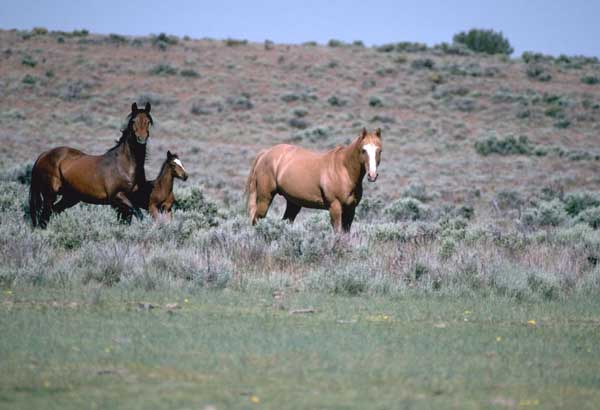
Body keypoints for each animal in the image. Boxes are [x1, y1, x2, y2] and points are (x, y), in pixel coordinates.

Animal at [245, 126, 382, 232]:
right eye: (364, 150)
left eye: (379, 150)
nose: (372, 175)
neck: (344, 170)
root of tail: (265, 153)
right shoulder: (335, 207)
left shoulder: (350, 209)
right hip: (265, 198)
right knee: (256, 220)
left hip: (293, 203)